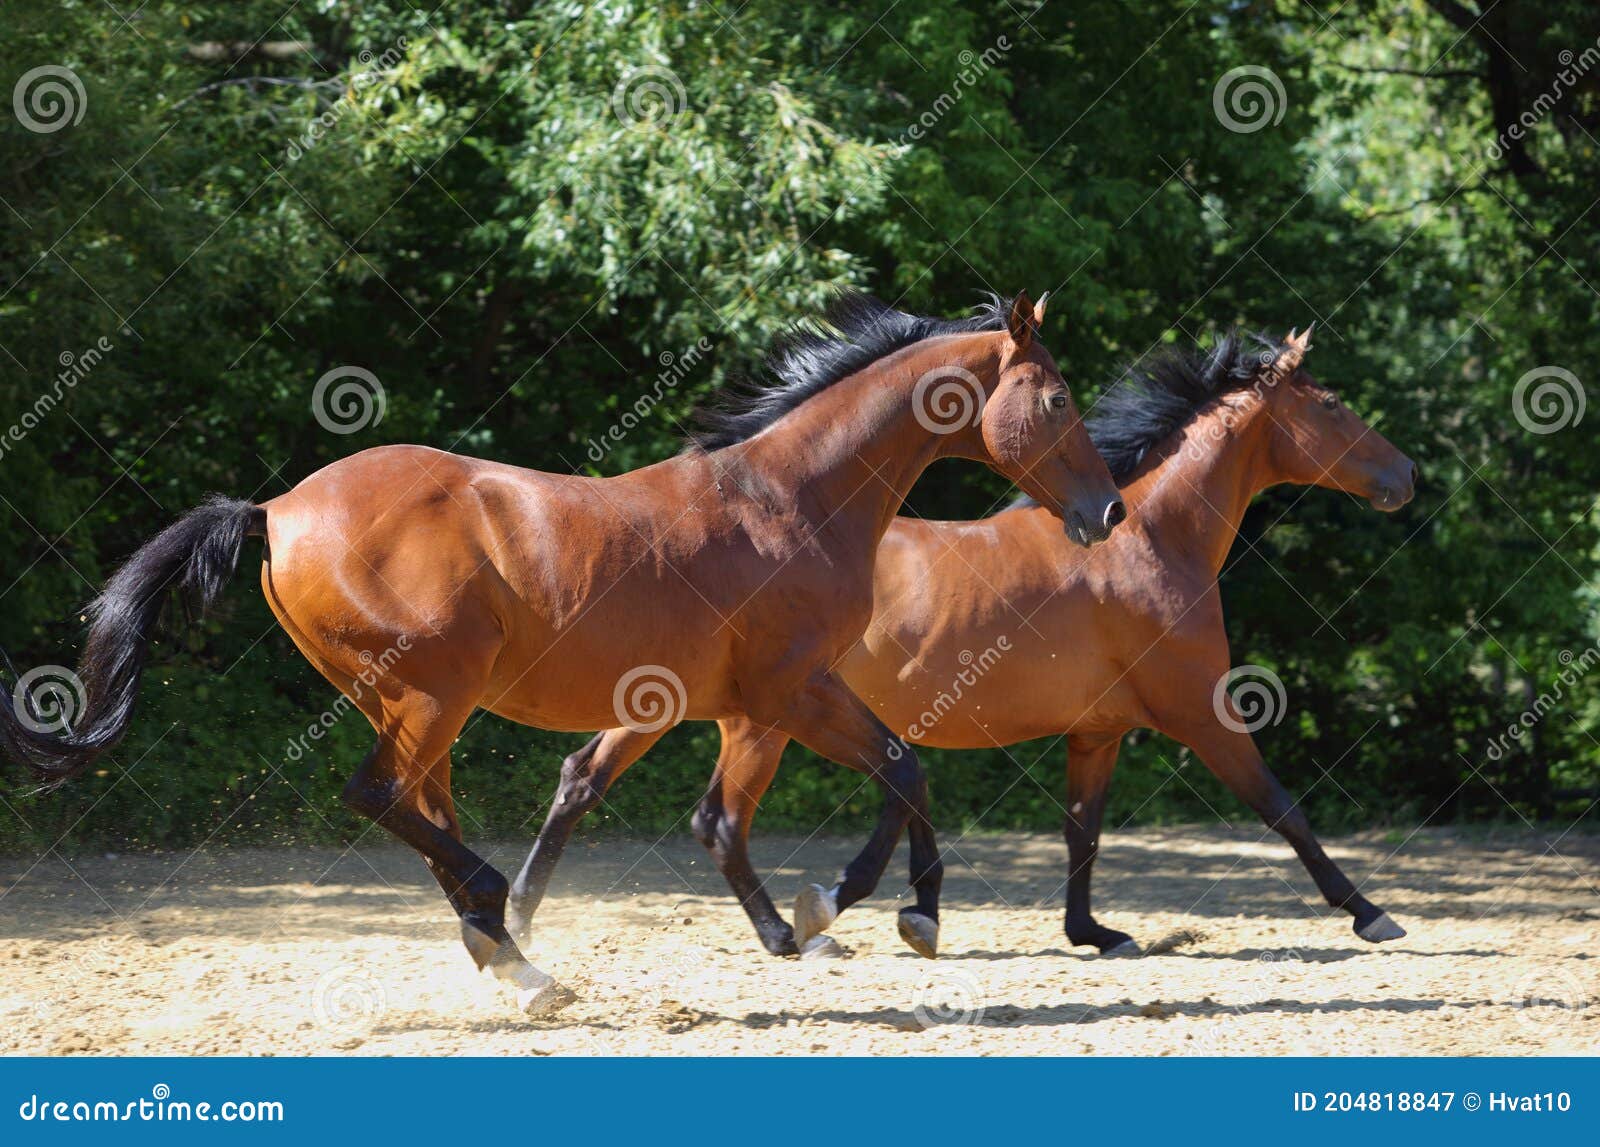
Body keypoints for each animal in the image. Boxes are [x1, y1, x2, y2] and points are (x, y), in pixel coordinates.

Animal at [3, 287, 1126, 1011]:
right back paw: (504, 930)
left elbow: (841, 783)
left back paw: (512, 956)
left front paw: (872, 913)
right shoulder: (783, 693)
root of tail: (275, 509)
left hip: (413, 705)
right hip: (431, 697)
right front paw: (828, 918)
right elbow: (845, 783)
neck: (791, 500)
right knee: (381, 798)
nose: (1107, 508)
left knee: (424, 810)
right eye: (1057, 399)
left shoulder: (712, 701)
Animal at [524, 324, 1414, 959]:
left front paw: (1092, 933)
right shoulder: (1201, 710)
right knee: (718, 818)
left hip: (681, 703)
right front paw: (1370, 913)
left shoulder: (1098, 732)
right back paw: (803, 922)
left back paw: (527, 921)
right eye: (1331, 404)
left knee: (590, 780)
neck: (1152, 541)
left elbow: (1082, 830)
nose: (1406, 476)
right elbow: (1282, 805)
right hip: (760, 719)